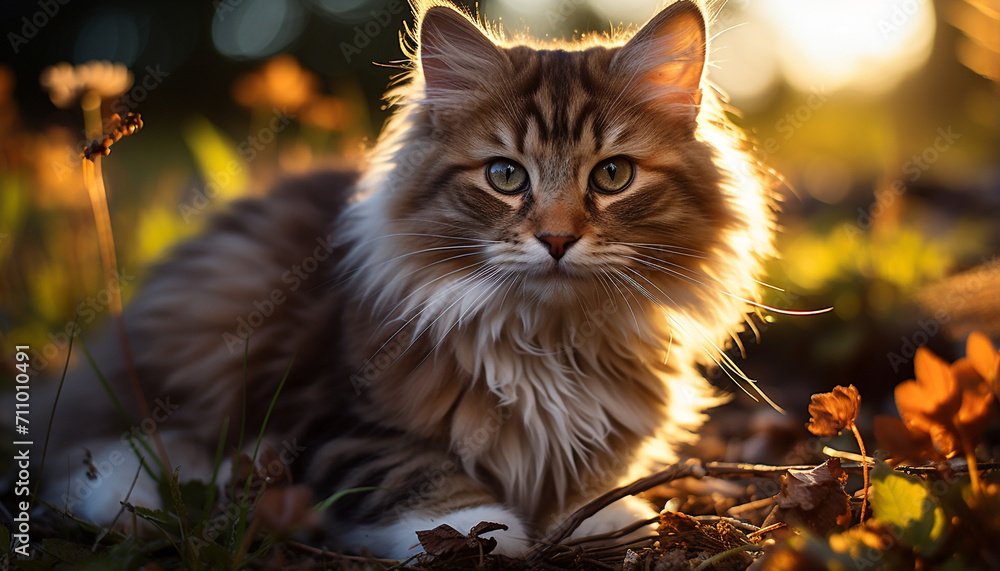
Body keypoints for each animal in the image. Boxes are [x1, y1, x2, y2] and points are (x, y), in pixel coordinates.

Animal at [37, 0, 772, 564]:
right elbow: (421, 476)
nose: (558, 239)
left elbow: (591, 488)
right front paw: (484, 533)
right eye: (505, 176)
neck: (550, 340)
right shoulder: (332, 420)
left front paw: (603, 516)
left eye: (613, 175)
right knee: (98, 452)